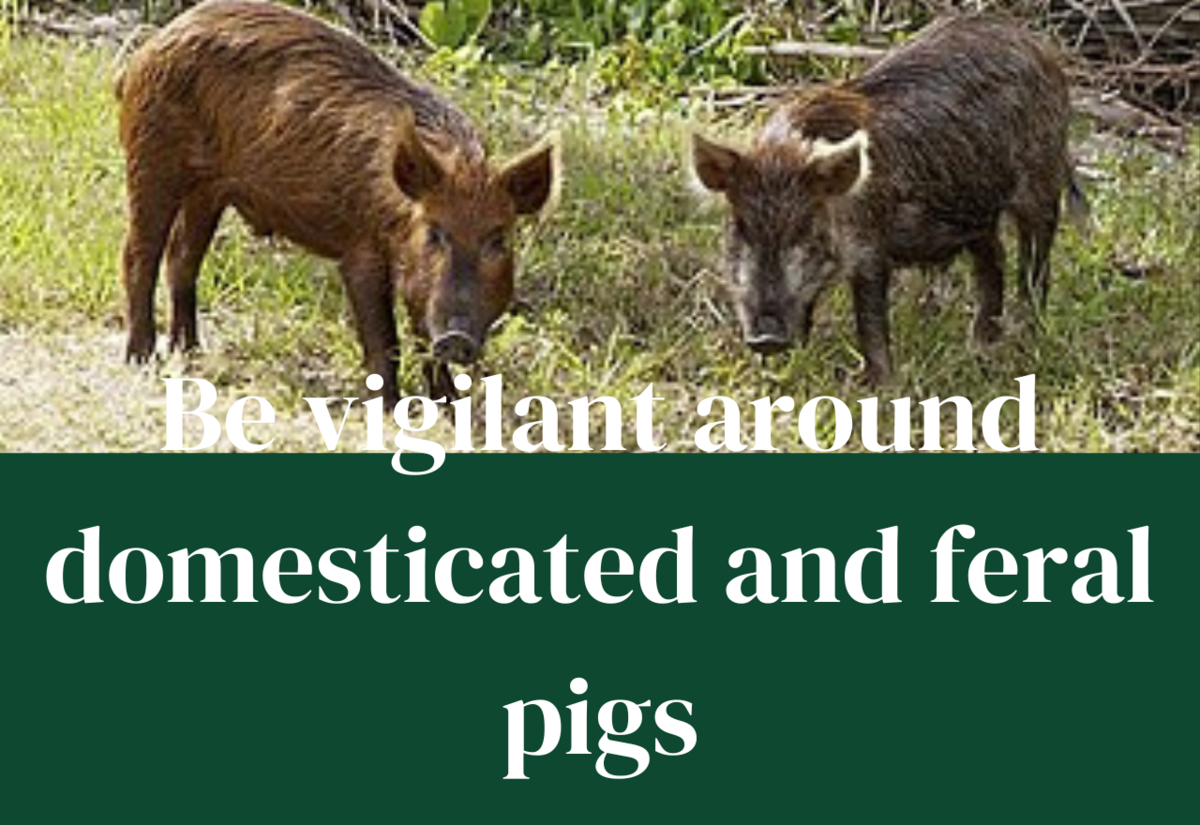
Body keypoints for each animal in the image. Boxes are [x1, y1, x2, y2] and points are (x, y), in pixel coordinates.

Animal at [116, 0, 557, 405]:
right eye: (434, 232)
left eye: (498, 239)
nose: (456, 338)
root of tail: (151, 46)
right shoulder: (360, 251)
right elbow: (383, 339)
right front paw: (390, 408)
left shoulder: (417, 281)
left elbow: (420, 335)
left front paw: (449, 408)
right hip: (151, 158)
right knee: (140, 254)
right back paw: (141, 358)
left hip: (208, 190)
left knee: (182, 257)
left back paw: (190, 352)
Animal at [690, 15, 1085, 383]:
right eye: (740, 228)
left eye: (805, 228)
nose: (765, 339)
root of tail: (1040, 46)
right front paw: (781, 372)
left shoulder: (870, 249)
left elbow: (870, 318)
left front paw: (876, 385)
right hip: (975, 211)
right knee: (994, 258)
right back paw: (980, 345)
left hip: (1041, 182)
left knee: (1035, 262)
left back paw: (1027, 335)